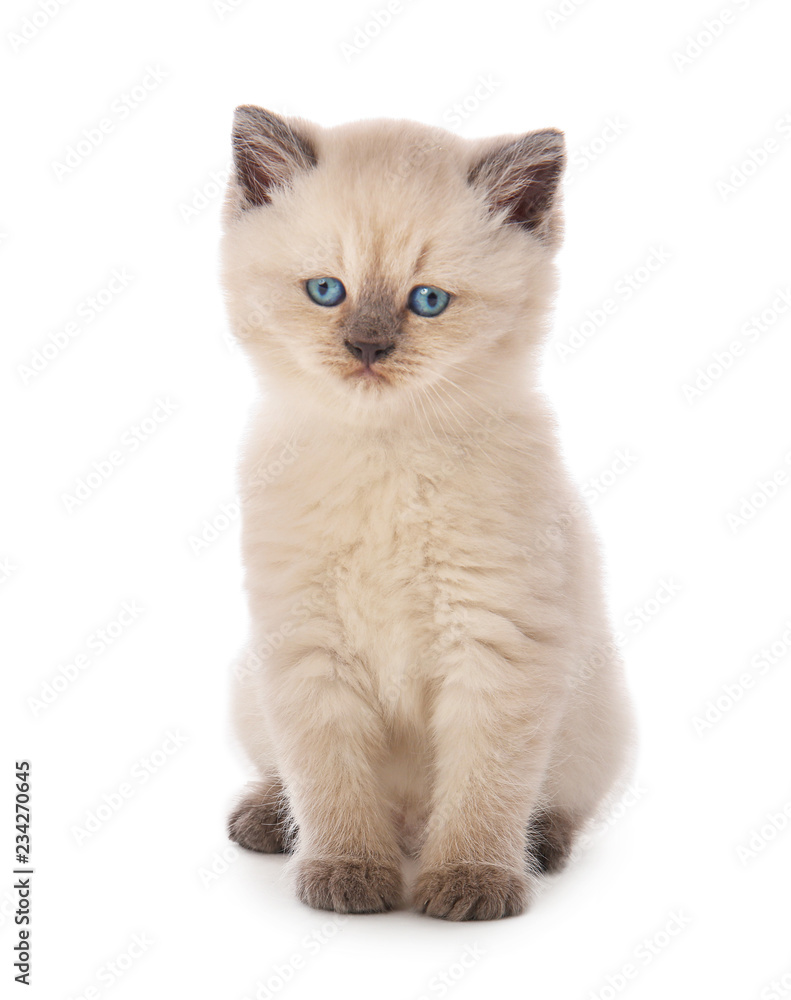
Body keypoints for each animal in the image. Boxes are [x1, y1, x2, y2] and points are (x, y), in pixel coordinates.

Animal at [218, 105, 636, 916]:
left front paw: (471, 881)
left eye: (428, 301)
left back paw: (537, 847)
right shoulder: (308, 646)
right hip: (249, 687)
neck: (385, 453)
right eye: (326, 290)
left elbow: (485, 786)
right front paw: (348, 872)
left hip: (595, 716)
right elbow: (329, 782)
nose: (367, 348)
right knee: (289, 779)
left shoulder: (496, 645)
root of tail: (410, 828)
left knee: (556, 800)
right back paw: (268, 819)